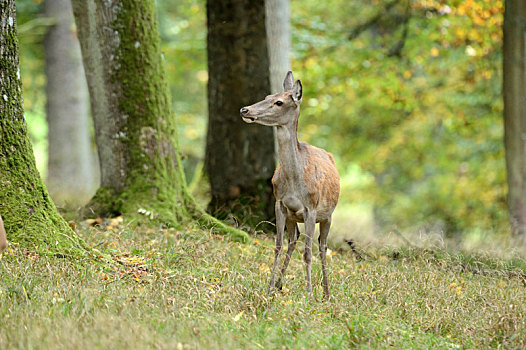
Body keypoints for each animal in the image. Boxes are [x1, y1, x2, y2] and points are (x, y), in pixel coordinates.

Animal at [240, 72, 340, 300]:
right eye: (267, 96)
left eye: (279, 102)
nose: (244, 110)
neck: (295, 180)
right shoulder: (280, 203)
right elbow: (278, 245)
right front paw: (269, 288)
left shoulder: (311, 208)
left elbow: (308, 252)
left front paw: (309, 293)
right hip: (294, 218)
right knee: (293, 240)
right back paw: (279, 285)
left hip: (328, 215)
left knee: (322, 246)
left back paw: (326, 292)